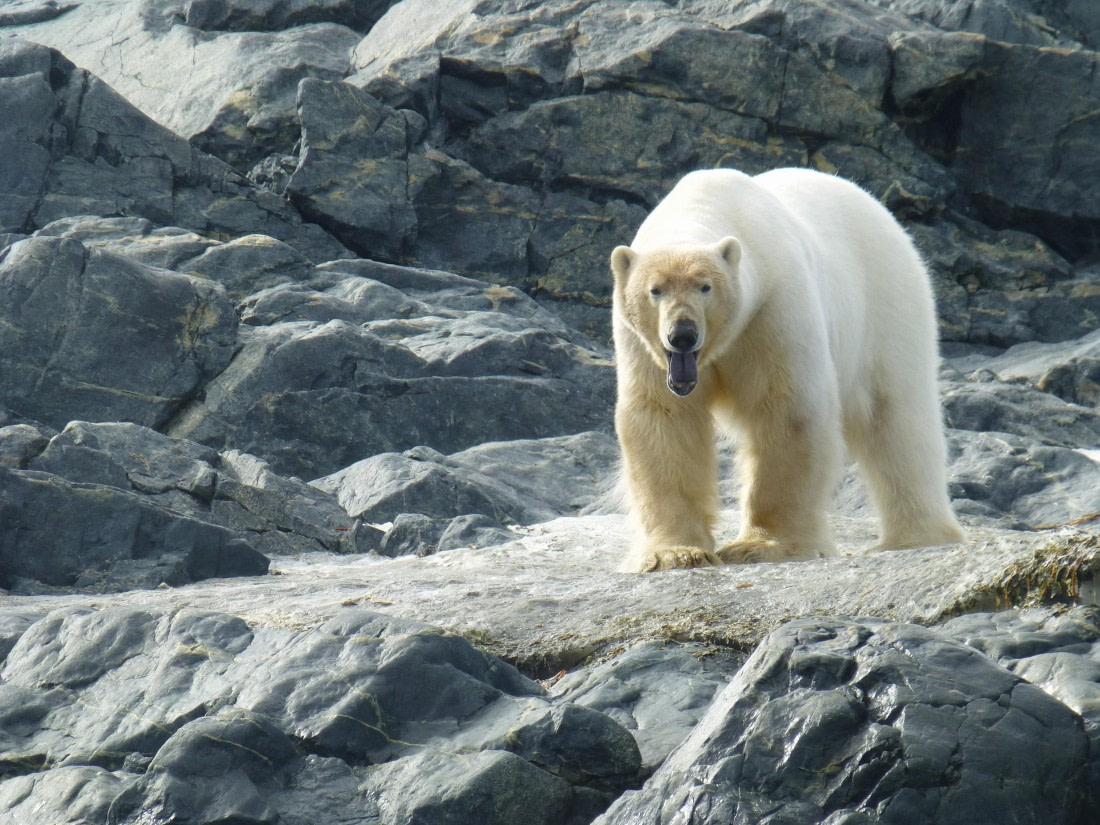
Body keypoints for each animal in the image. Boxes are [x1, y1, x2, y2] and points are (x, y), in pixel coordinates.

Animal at [610, 167, 965, 572]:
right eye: (655, 290)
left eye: (705, 287)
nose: (682, 334)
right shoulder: (642, 345)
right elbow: (664, 419)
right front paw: (675, 553)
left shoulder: (773, 307)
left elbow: (787, 410)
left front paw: (762, 545)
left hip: (887, 302)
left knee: (897, 416)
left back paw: (918, 536)